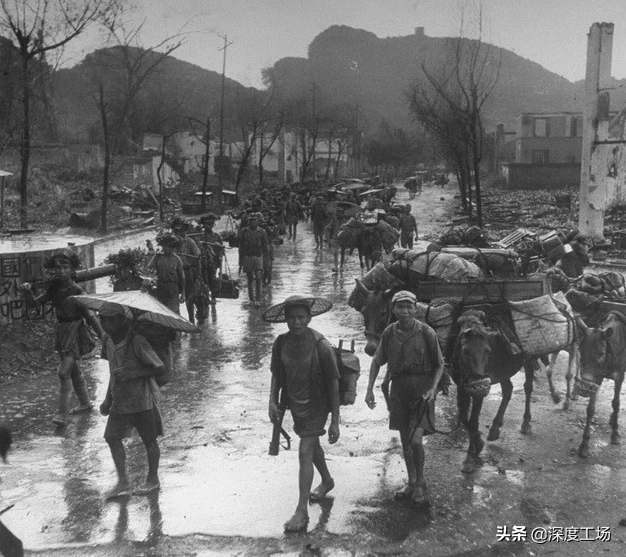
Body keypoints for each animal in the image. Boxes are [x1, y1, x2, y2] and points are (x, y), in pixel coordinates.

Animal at [576, 310, 624, 458]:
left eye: (601, 353)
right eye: (581, 350)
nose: (584, 389)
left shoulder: (619, 376)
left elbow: (616, 403)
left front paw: (615, 434)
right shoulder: (595, 380)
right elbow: (590, 409)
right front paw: (584, 445)